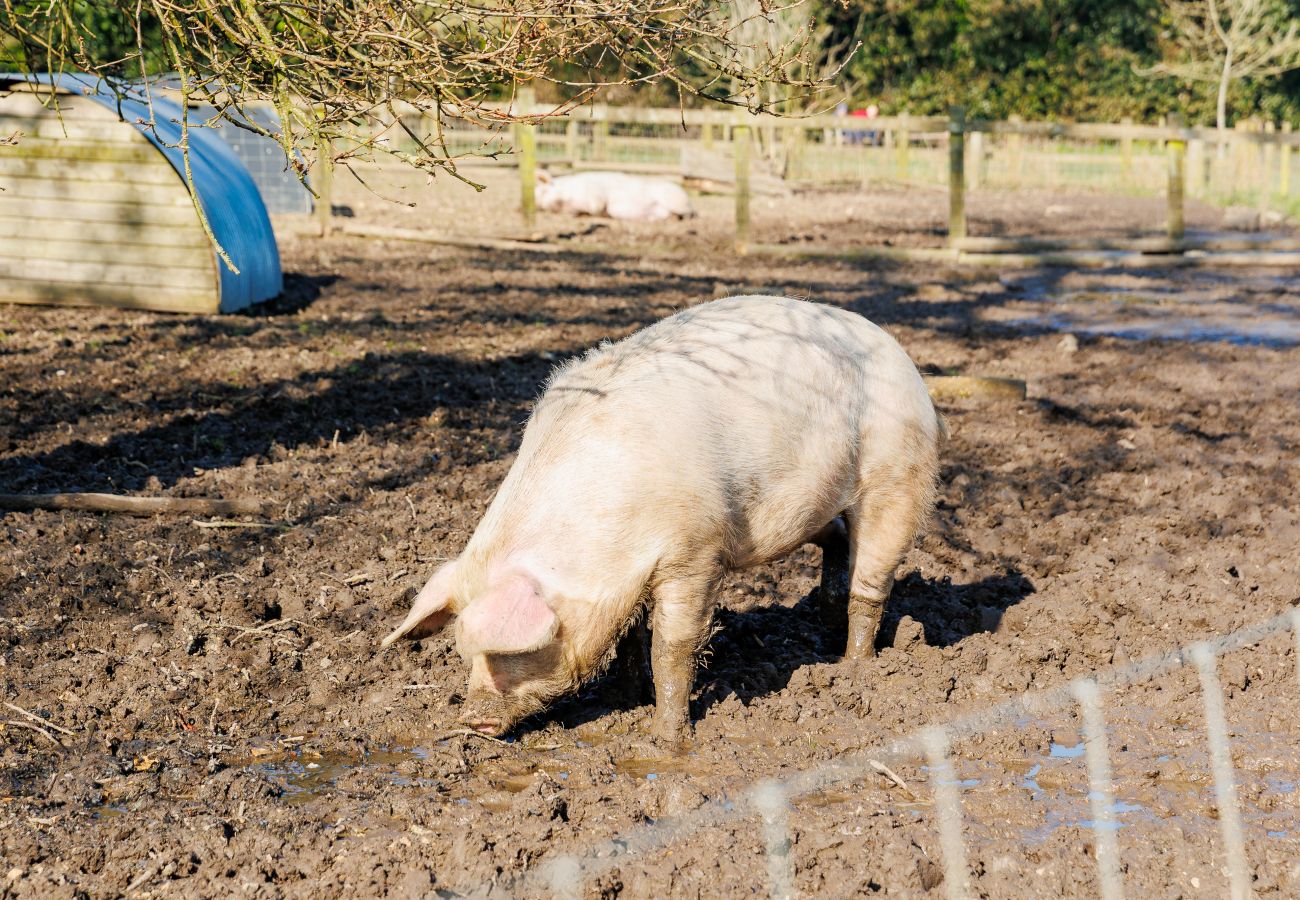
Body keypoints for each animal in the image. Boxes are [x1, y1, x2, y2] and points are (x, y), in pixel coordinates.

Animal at [379, 296, 941, 743]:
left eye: (503, 652)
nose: (472, 720)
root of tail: (904, 361)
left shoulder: (695, 550)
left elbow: (671, 646)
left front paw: (667, 735)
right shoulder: (631, 571)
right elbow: (630, 636)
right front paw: (626, 696)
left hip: (898, 475)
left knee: (873, 580)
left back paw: (856, 668)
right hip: (815, 504)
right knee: (839, 538)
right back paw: (827, 629)